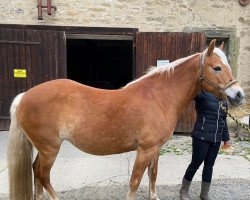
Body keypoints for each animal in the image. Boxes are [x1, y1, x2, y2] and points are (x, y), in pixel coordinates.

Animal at [7, 39, 244, 200]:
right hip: (50, 149)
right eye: (217, 67)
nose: (239, 95)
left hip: (44, 149)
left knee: (36, 172)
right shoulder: (145, 149)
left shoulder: (155, 149)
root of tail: (24, 96)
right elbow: (135, 180)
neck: (159, 97)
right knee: (42, 174)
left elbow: (153, 175)